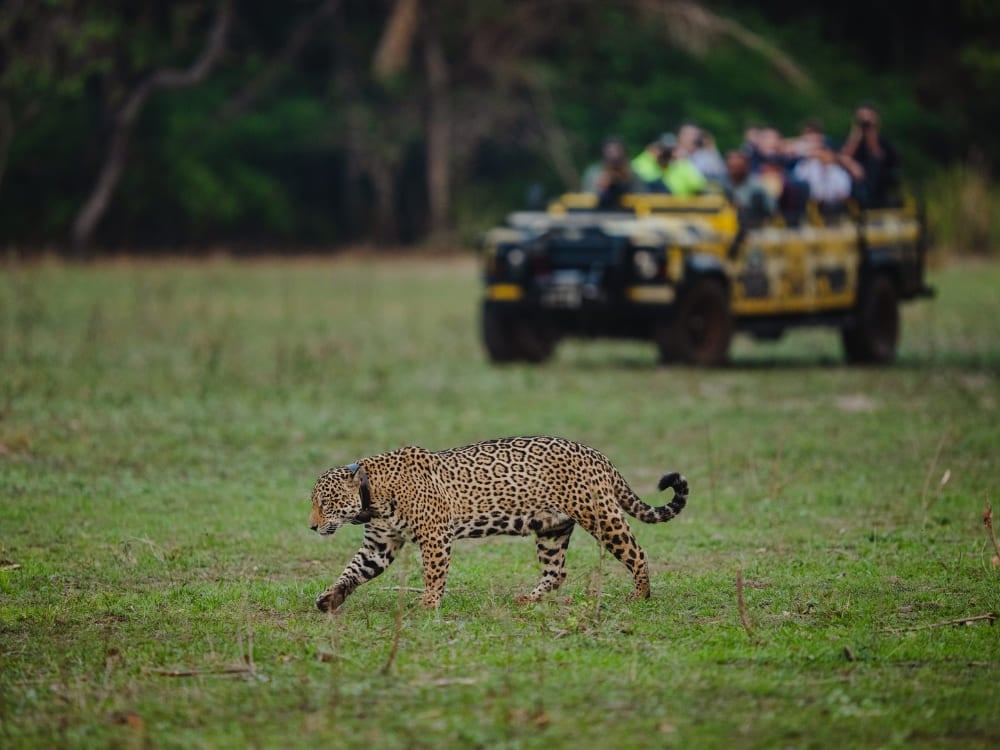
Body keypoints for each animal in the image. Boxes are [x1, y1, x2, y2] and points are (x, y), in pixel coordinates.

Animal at [308, 435, 688, 611]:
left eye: (324, 504)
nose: (311, 527)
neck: (372, 492)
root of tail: (598, 455)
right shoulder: (379, 544)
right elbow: (353, 571)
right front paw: (330, 598)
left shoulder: (435, 536)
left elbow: (433, 573)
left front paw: (429, 604)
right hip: (552, 529)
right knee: (556, 572)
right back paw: (529, 600)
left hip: (601, 516)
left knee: (637, 552)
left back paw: (640, 596)